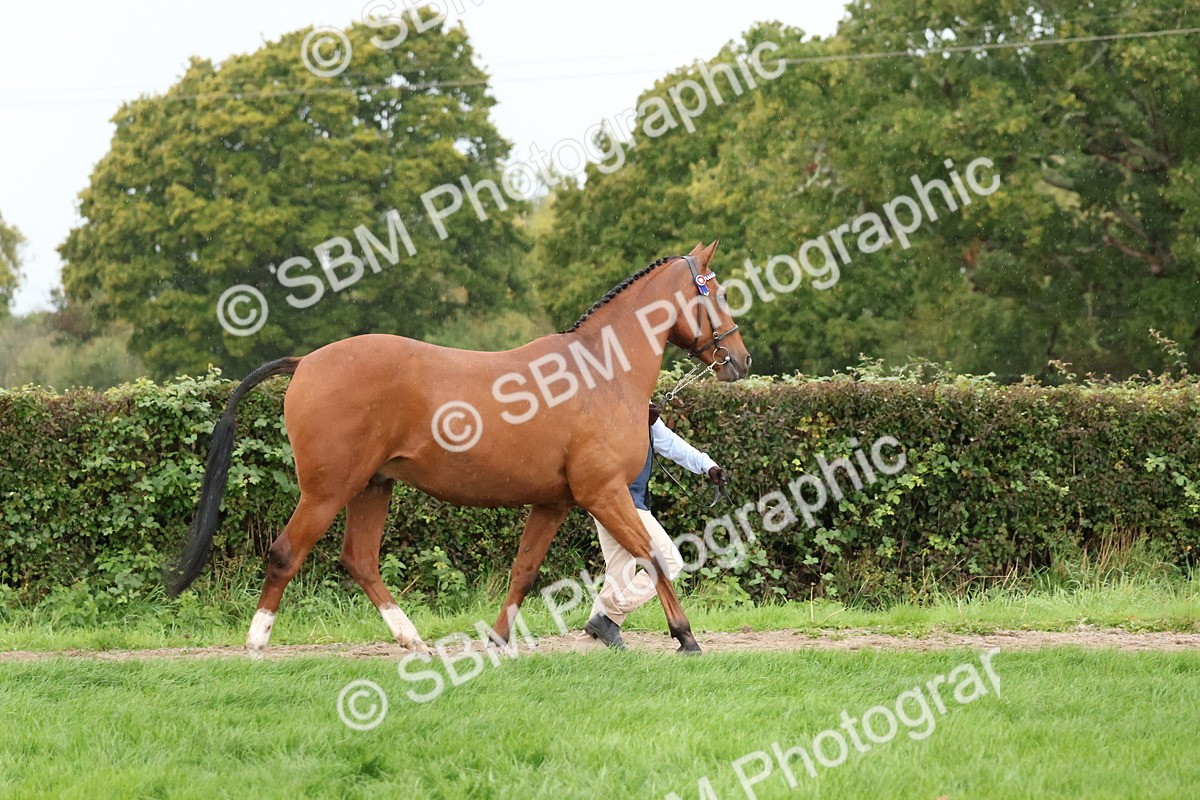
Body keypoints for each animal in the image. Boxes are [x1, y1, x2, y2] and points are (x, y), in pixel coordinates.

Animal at [167, 240, 751, 655]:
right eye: (716, 292)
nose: (741, 360)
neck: (599, 375)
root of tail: (306, 361)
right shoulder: (602, 493)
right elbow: (652, 559)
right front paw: (686, 636)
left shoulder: (555, 502)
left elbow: (524, 571)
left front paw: (497, 640)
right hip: (327, 490)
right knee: (287, 553)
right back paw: (257, 642)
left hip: (373, 487)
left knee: (359, 560)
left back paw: (413, 640)